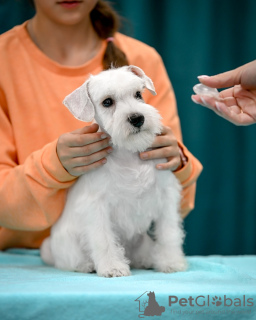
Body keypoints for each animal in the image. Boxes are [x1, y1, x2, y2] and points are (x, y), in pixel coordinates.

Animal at [41, 65, 187, 278]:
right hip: (67, 245)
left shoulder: (166, 195)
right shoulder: (96, 206)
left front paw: (171, 262)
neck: (128, 154)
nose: (137, 118)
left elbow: (168, 232)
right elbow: (103, 239)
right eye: (107, 102)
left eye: (138, 94)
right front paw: (113, 267)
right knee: (68, 260)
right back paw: (85, 265)